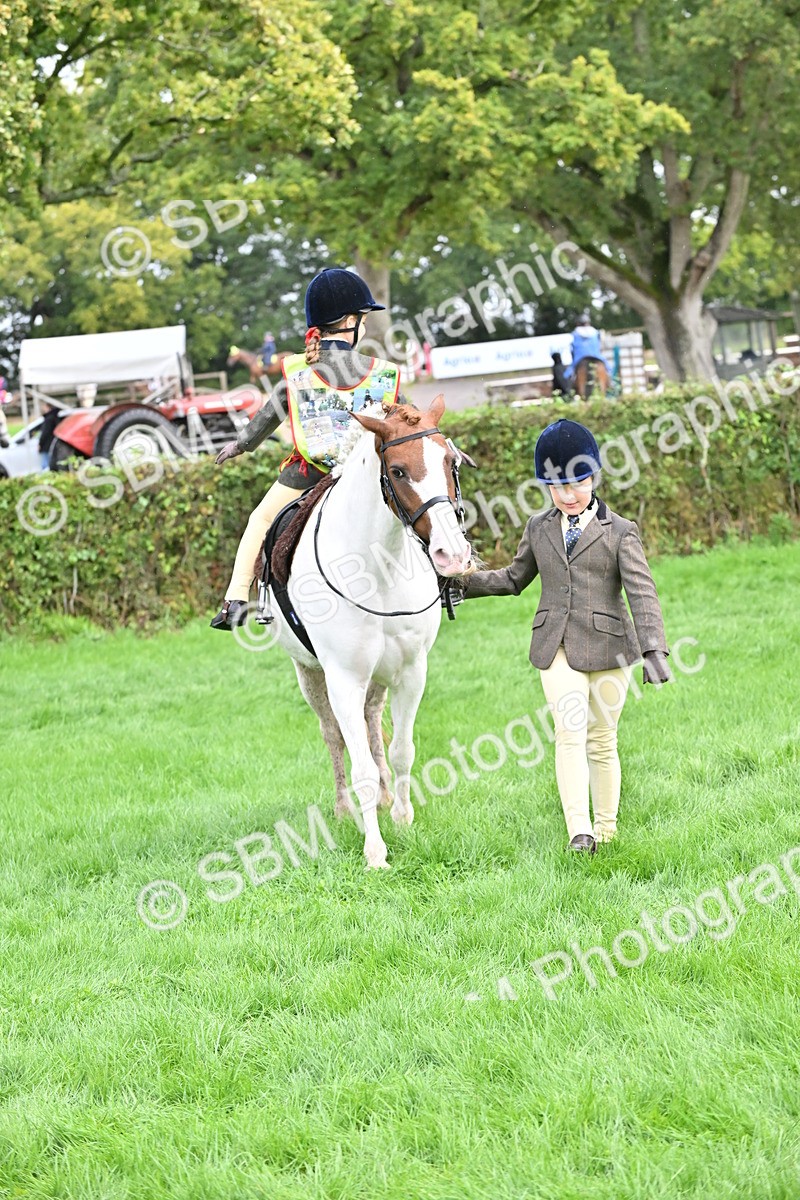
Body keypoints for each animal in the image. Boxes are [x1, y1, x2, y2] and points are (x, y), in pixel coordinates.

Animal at [264, 394, 472, 870]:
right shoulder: (342, 679)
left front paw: (402, 816)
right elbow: (356, 763)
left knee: (373, 724)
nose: (451, 555)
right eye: (397, 470)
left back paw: (383, 798)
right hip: (311, 676)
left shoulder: (412, 673)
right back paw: (345, 810)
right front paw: (375, 852)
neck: (376, 569)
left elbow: (401, 750)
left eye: (450, 461)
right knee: (334, 735)